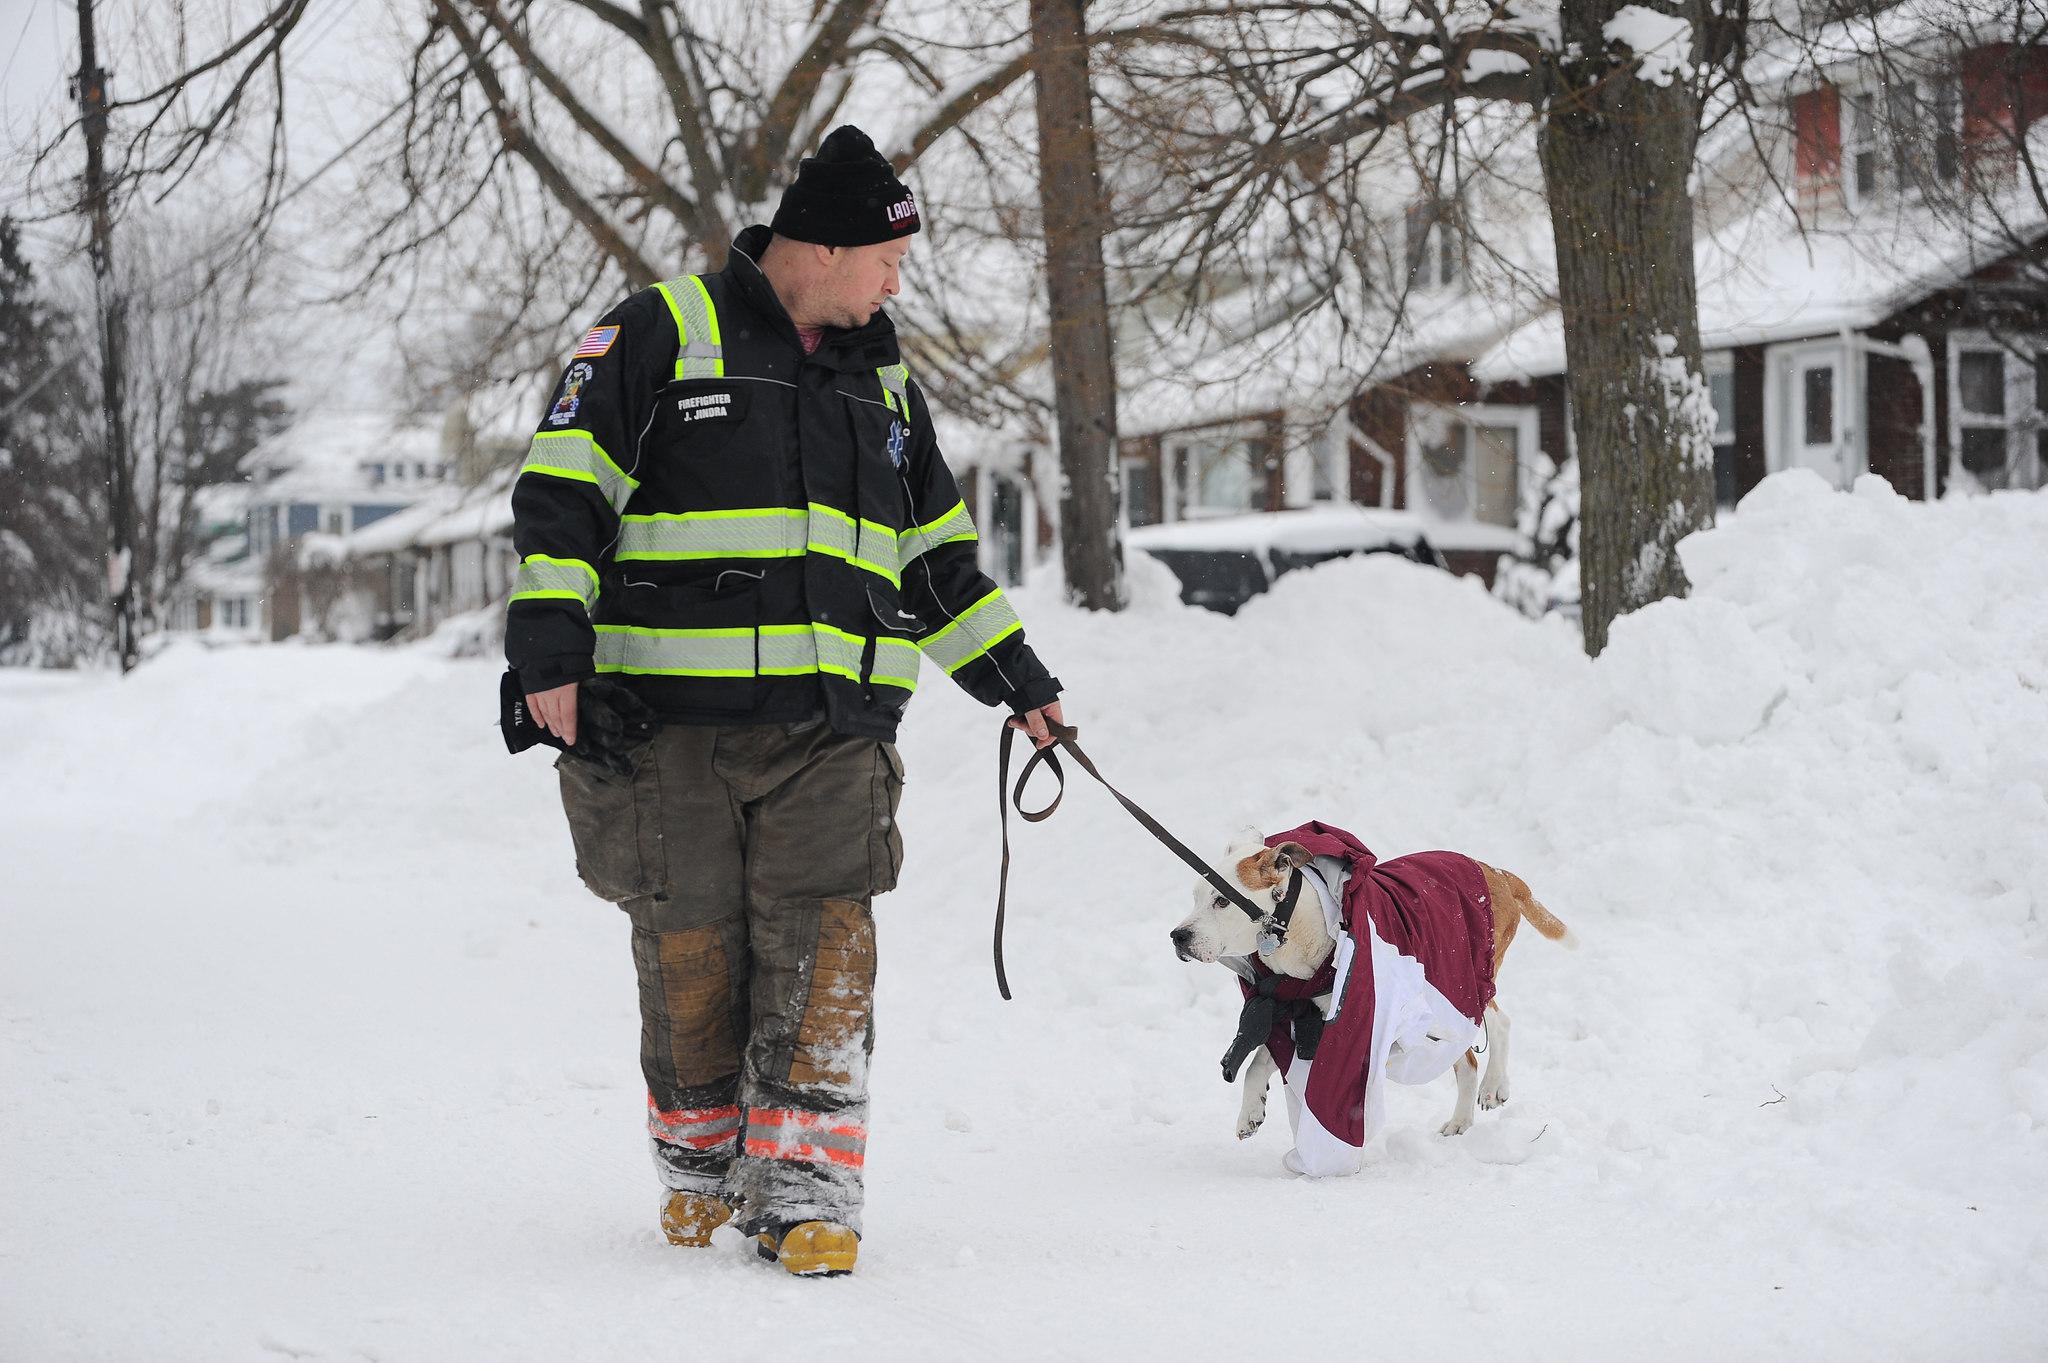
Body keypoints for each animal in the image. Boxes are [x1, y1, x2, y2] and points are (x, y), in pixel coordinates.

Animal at [1171, 822, 1564, 1170]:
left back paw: (1494, 1085)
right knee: (1465, 1057)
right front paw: (1251, 1110)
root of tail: (1496, 873)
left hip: (1462, 984)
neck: (1293, 931)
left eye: (1222, 901)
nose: (1178, 936)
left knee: (1498, 1021)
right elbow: (1259, 1060)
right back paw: (1460, 1122)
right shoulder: (1295, 1009)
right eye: (1195, 897)